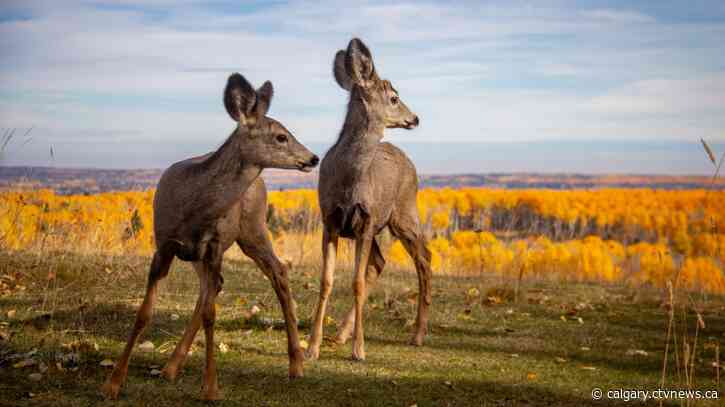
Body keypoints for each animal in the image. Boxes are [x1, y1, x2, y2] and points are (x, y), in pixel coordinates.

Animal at [102, 73, 319, 401]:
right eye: (281, 136)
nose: (313, 158)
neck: (193, 207)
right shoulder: (164, 245)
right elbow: (144, 313)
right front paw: (114, 383)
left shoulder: (214, 245)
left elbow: (210, 315)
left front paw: (212, 388)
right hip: (204, 252)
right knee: (213, 286)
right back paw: (171, 366)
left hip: (252, 229)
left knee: (277, 272)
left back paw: (296, 364)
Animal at [305, 38, 432, 362]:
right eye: (394, 98)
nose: (415, 118)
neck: (349, 180)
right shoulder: (331, 221)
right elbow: (326, 281)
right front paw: (312, 347)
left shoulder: (366, 219)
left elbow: (357, 282)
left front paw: (359, 350)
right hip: (382, 225)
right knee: (380, 261)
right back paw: (341, 334)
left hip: (403, 213)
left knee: (424, 258)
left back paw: (417, 335)